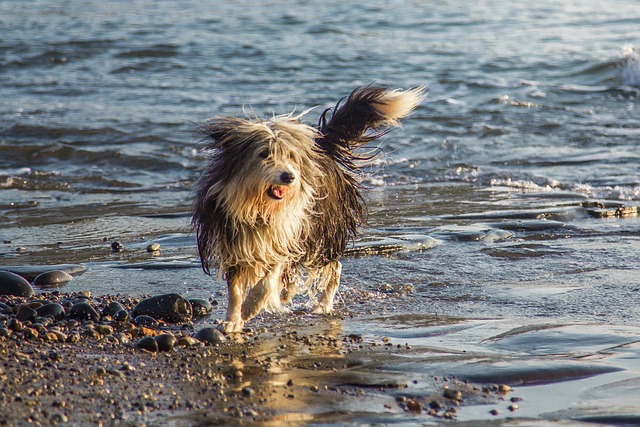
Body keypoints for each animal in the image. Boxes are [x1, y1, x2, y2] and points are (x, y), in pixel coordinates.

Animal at [192, 86, 422, 334]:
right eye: (263, 154)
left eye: (291, 156)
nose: (289, 176)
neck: (261, 209)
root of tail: (321, 146)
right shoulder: (232, 240)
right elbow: (235, 289)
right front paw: (233, 320)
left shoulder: (287, 235)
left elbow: (270, 277)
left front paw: (251, 306)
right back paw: (287, 293)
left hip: (325, 231)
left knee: (334, 267)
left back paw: (323, 305)